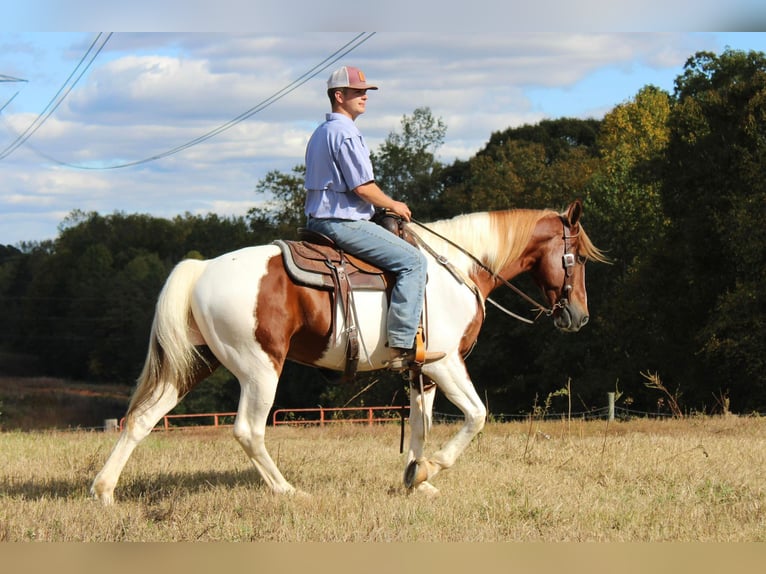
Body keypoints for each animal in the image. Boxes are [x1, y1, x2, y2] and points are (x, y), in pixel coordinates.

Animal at [91, 200, 608, 506]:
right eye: (579, 257)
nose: (579, 316)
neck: (457, 268)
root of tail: (202, 270)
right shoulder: (446, 363)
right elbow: (477, 416)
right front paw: (432, 468)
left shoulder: (420, 370)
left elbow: (419, 426)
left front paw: (416, 477)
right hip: (260, 369)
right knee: (247, 431)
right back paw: (287, 491)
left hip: (197, 363)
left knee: (141, 420)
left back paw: (105, 491)